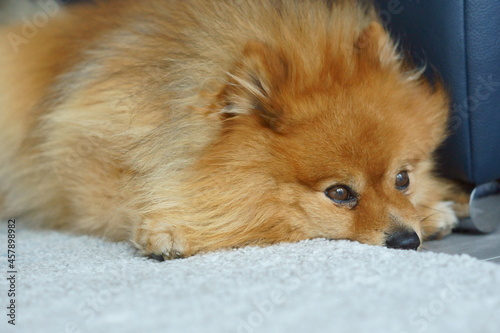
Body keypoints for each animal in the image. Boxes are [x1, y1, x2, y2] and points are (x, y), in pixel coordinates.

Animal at [0, 0, 464, 260]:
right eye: (339, 193)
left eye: (402, 179)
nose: (406, 241)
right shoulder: (83, 152)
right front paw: (171, 231)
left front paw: (433, 211)